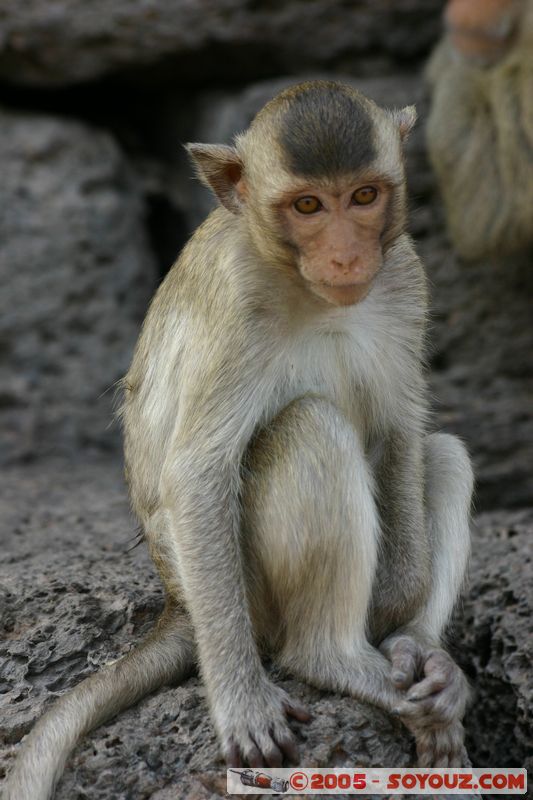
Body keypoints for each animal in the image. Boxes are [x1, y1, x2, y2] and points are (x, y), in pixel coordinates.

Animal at [4, 80, 474, 800]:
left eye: (363, 196)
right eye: (307, 206)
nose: (346, 254)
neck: (302, 284)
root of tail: (176, 601)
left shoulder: (404, 278)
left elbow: (401, 425)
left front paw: (405, 608)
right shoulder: (236, 303)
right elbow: (197, 474)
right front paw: (240, 700)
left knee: (443, 454)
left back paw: (415, 649)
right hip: (245, 594)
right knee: (311, 426)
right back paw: (334, 658)